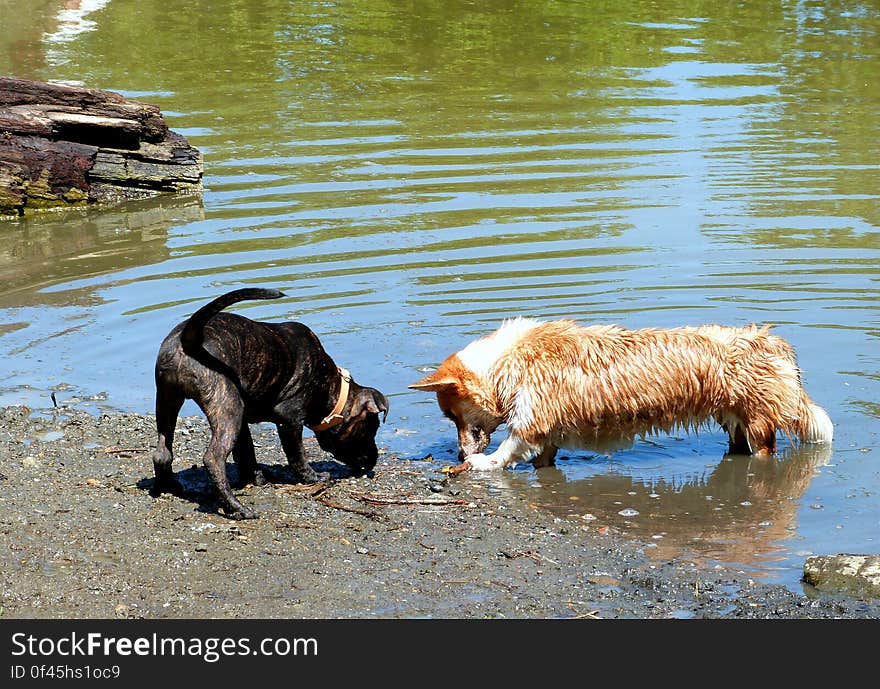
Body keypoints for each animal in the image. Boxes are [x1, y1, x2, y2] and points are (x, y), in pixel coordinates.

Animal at [152, 288, 388, 520]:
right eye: (372, 428)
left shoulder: (243, 422)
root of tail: (189, 339)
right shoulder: (289, 421)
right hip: (226, 407)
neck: (330, 387)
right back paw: (236, 508)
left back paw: (169, 486)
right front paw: (313, 477)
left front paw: (255, 478)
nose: (374, 460)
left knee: (162, 453)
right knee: (213, 458)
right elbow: (297, 456)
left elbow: (246, 452)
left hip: (169, 400)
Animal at [410, 318, 832, 472]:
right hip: (734, 422)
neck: (502, 364)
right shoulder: (548, 431)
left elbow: (509, 448)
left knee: (765, 452)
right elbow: (544, 456)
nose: (459, 455)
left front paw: (483, 463)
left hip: (758, 424)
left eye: (452, 416)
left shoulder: (531, 420)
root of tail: (773, 343)